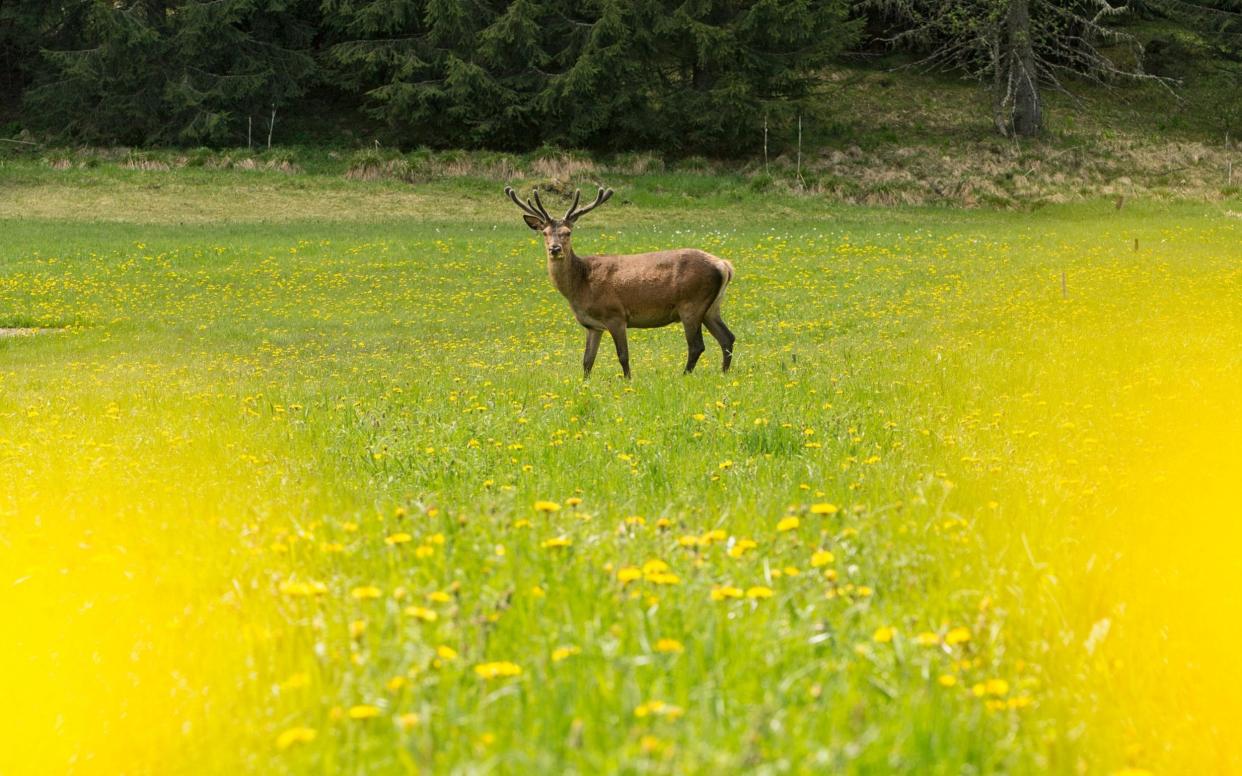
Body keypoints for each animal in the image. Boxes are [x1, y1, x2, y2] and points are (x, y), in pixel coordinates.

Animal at [506, 187, 735, 382]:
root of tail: (724, 265)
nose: (555, 249)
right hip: (711, 307)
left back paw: (684, 375)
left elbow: (623, 355)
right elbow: (587, 360)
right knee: (727, 338)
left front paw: (628, 381)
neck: (580, 285)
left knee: (697, 345)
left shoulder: (615, 315)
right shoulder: (592, 325)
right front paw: (584, 384)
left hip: (691, 303)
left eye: (567, 232)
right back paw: (723, 374)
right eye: (544, 232)